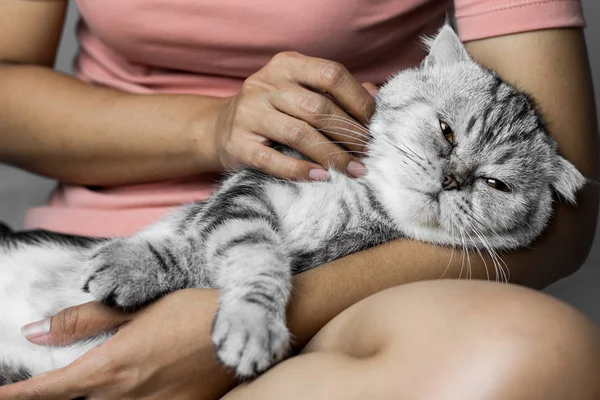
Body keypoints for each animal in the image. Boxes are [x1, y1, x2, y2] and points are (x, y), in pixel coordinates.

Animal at [0, 25, 584, 384]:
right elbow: (238, 245)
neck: (357, 198)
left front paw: (247, 327)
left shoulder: (315, 252)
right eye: (446, 129)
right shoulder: (247, 190)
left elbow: (248, 262)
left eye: (495, 184)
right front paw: (134, 262)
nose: (453, 178)